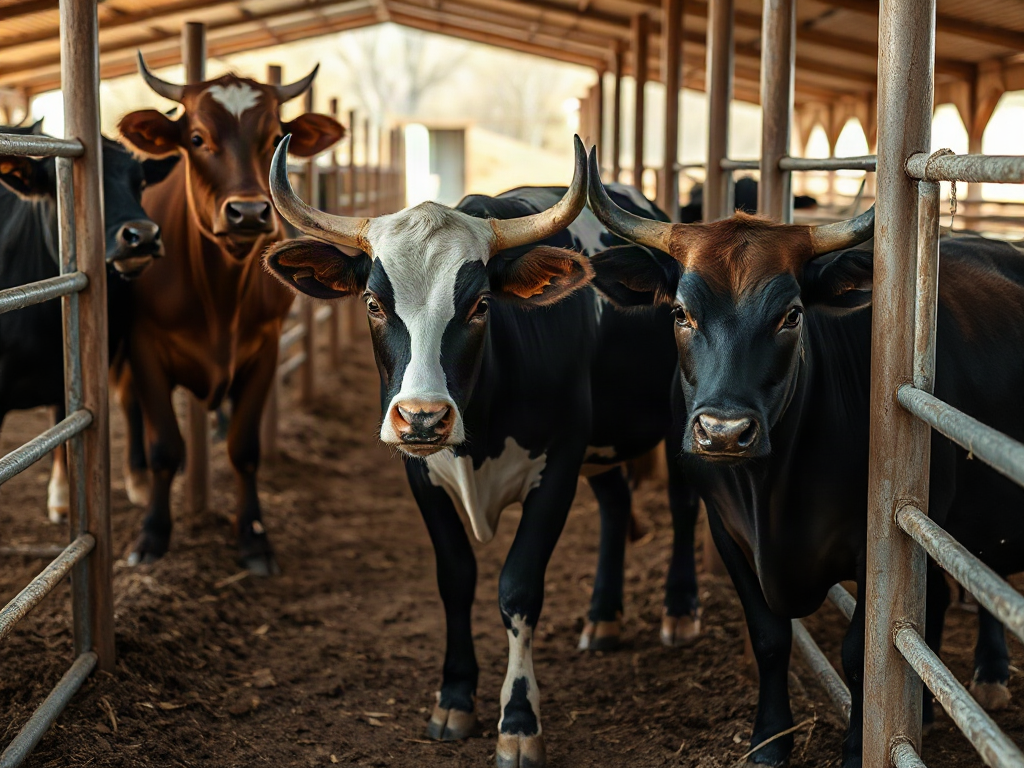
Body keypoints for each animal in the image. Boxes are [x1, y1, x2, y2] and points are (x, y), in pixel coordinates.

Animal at [114, 55, 345, 574]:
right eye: (197, 138)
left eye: (273, 138)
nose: (249, 213)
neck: (219, 294)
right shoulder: (144, 347)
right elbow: (164, 446)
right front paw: (152, 534)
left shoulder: (265, 348)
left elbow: (244, 447)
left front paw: (254, 537)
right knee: (130, 405)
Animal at [260, 136, 701, 767]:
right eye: (373, 303)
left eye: (481, 305)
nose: (422, 416)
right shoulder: (423, 478)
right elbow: (456, 578)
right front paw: (454, 698)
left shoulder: (557, 467)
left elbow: (518, 588)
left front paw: (517, 721)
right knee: (616, 503)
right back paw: (602, 619)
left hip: (679, 420)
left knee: (684, 505)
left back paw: (680, 611)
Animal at [586, 151, 1024, 767]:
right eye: (679, 313)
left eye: (791, 315)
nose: (724, 431)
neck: (772, 492)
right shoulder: (728, 532)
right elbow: (770, 638)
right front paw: (769, 741)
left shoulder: (875, 543)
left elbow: (861, 651)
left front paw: (857, 748)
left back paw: (990, 672)